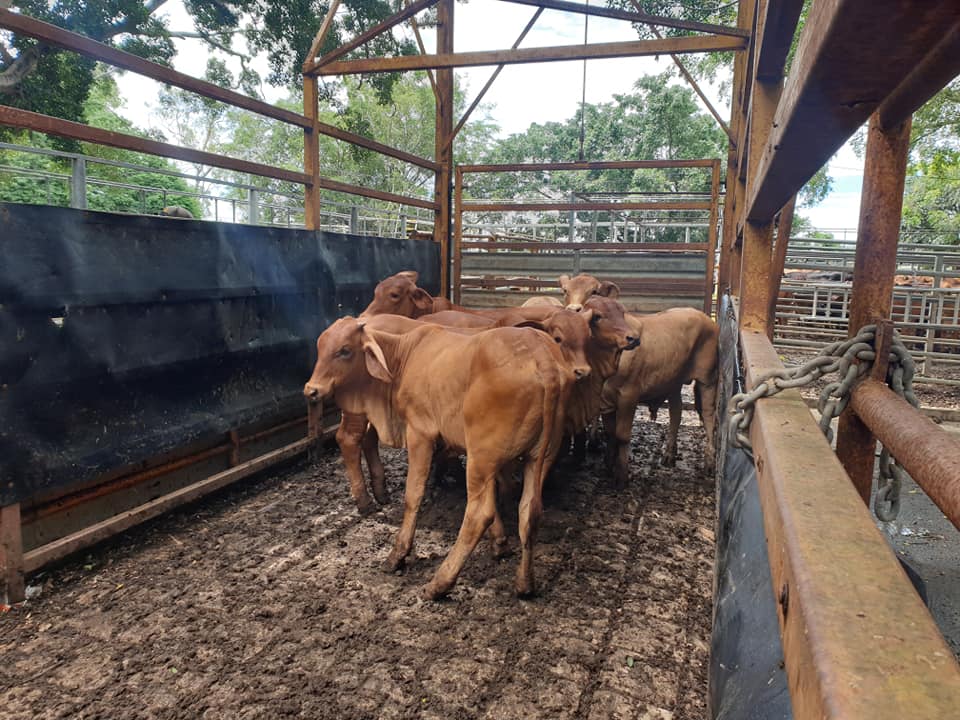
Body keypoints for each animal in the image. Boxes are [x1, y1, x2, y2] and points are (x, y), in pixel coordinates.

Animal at [304, 318, 572, 598]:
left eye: (345, 350)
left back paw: (440, 583)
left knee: (479, 513)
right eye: (320, 346)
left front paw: (399, 554)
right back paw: (524, 583)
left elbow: (413, 495)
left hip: (481, 456)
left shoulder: (420, 434)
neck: (403, 356)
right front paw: (499, 543)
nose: (311, 390)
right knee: (529, 512)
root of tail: (543, 358)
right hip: (539, 456)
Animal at [600, 307, 719, 486]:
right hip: (674, 383)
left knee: (708, 417)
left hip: (707, 381)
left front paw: (621, 475)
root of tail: (704, 317)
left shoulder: (629, 396)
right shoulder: (605, 400)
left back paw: (709, 464)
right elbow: (610, 433)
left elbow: (621, 435)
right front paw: (608, 464)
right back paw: (669, 455)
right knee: (676, 413)